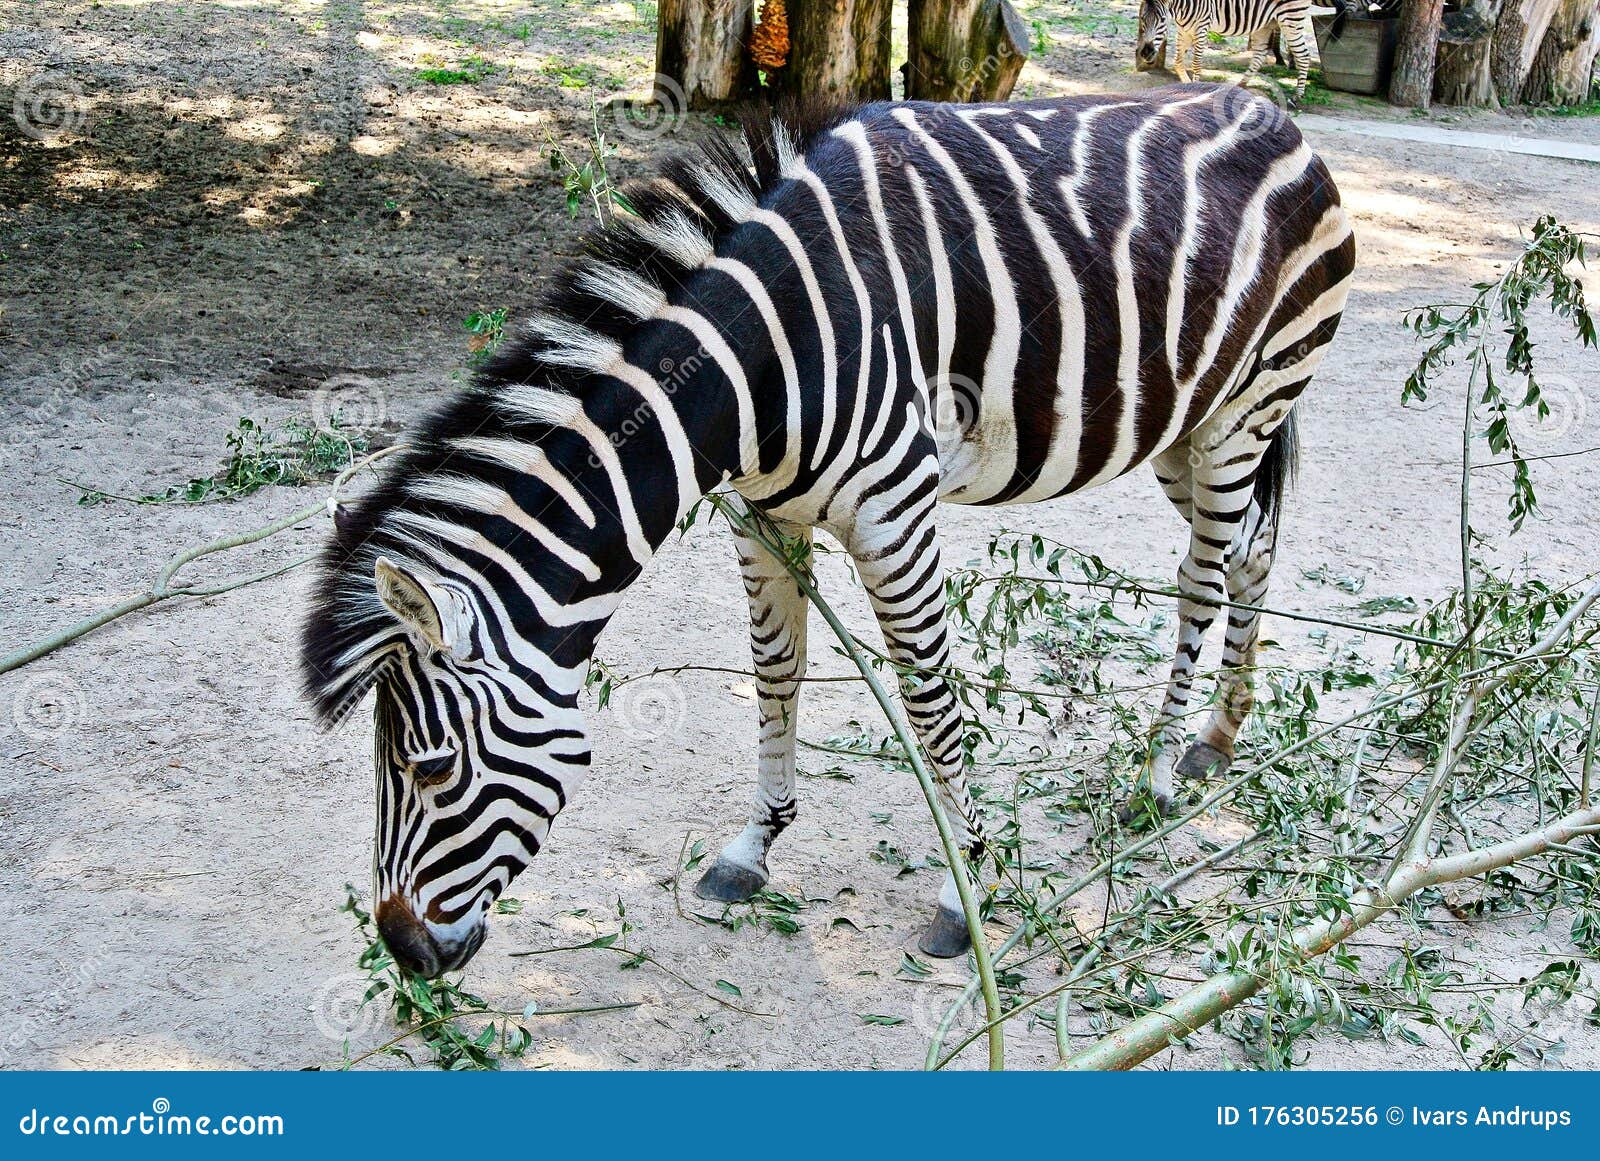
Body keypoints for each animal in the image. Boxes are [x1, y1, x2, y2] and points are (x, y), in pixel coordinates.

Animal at [302, 85, 1355, 976]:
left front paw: (961, 891)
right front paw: (754, 844)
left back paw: (1156, 775)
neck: (761, 361)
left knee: (1203, 576)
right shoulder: (760, 515)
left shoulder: (896, 513)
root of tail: (1267, 108)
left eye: (430, 767)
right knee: (1254, 550)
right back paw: (1218, 737)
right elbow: (775, 671)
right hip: (1187, 426)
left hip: (1248, 407)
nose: (404, 952)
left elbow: (929, 704)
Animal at [1135, 0, 1354, 106]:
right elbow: (1178, 61)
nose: (1145, 53)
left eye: (1162, 20)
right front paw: (1186, 85)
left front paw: (1195, 86)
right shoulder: (1184, 30)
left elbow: (1196, 63)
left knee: (1303, 55)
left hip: (1290, 18)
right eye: (1142, 20)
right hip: (1266, 23)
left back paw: (1297, 96)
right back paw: (1239, 85)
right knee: (1259, 56)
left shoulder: (1202, 27)